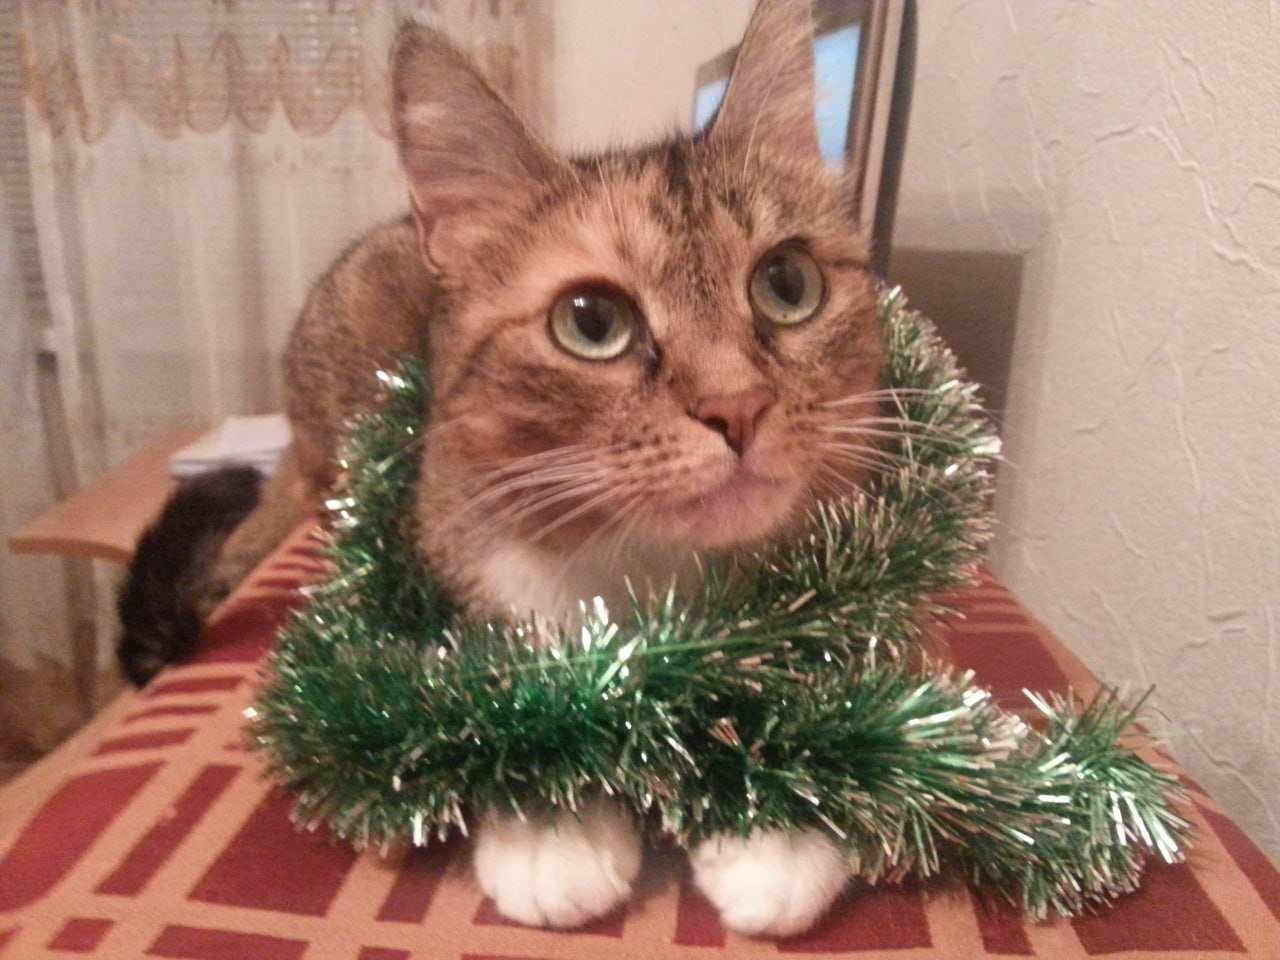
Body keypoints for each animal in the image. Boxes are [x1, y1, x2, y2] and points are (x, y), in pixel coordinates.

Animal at [119, 0, 884, 937]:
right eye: (591, 322)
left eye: (788, 282)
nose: (738, 407)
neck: (651, 572)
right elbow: (505, 699)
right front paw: (554, 829)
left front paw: (776, 817)